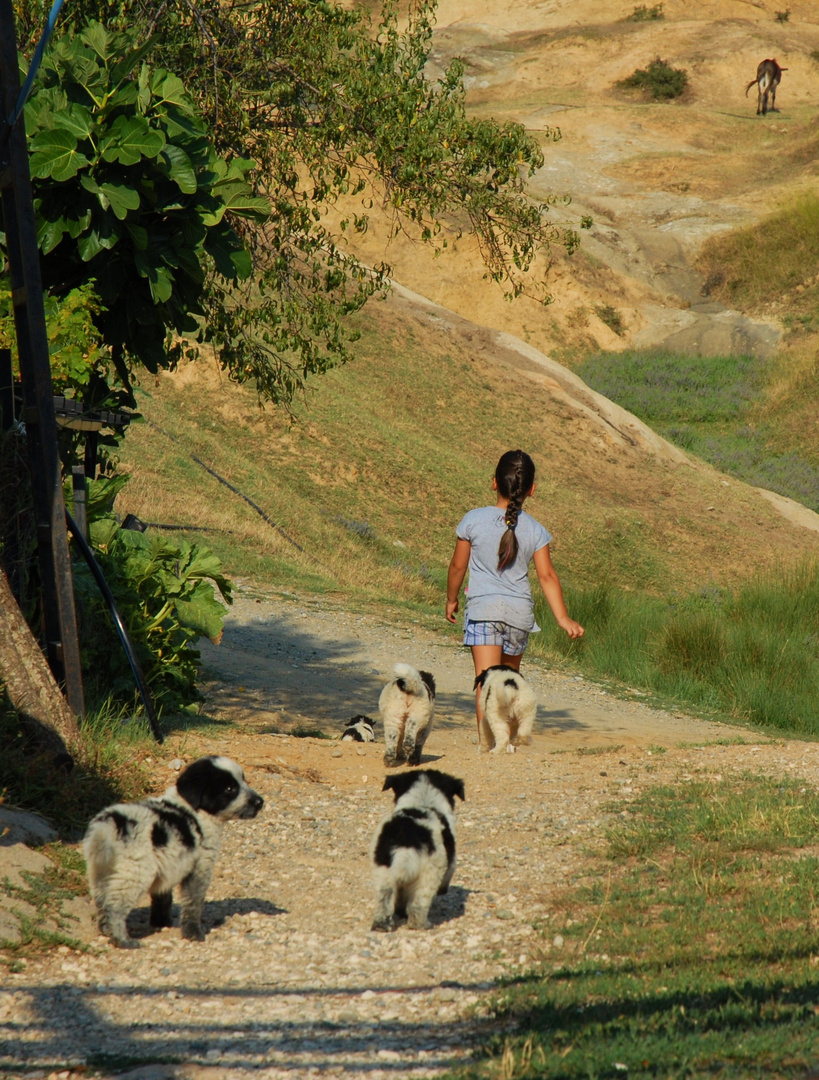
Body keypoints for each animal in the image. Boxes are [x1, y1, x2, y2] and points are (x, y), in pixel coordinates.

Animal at [83, 756, 262, 950]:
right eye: (230, 789)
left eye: (243, 780)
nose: (260, 802)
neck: (194, 809)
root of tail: (107, 828)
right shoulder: (200, 867)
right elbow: (193, 903)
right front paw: (193, 933)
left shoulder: (168, 863)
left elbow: (163, 896)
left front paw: (162, 922)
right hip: (135, 873)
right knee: (115, 907)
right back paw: (122, 939)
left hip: (100, 872)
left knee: (101, 901)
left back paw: (106, 930)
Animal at [369, 764, 462, 933]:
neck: (422, 801)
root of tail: (406, 839)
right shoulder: (449, 862)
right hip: (430, 873)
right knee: (417, 906)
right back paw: (424, 925)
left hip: (382, 871)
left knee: (384, 900)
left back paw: (381, 926)